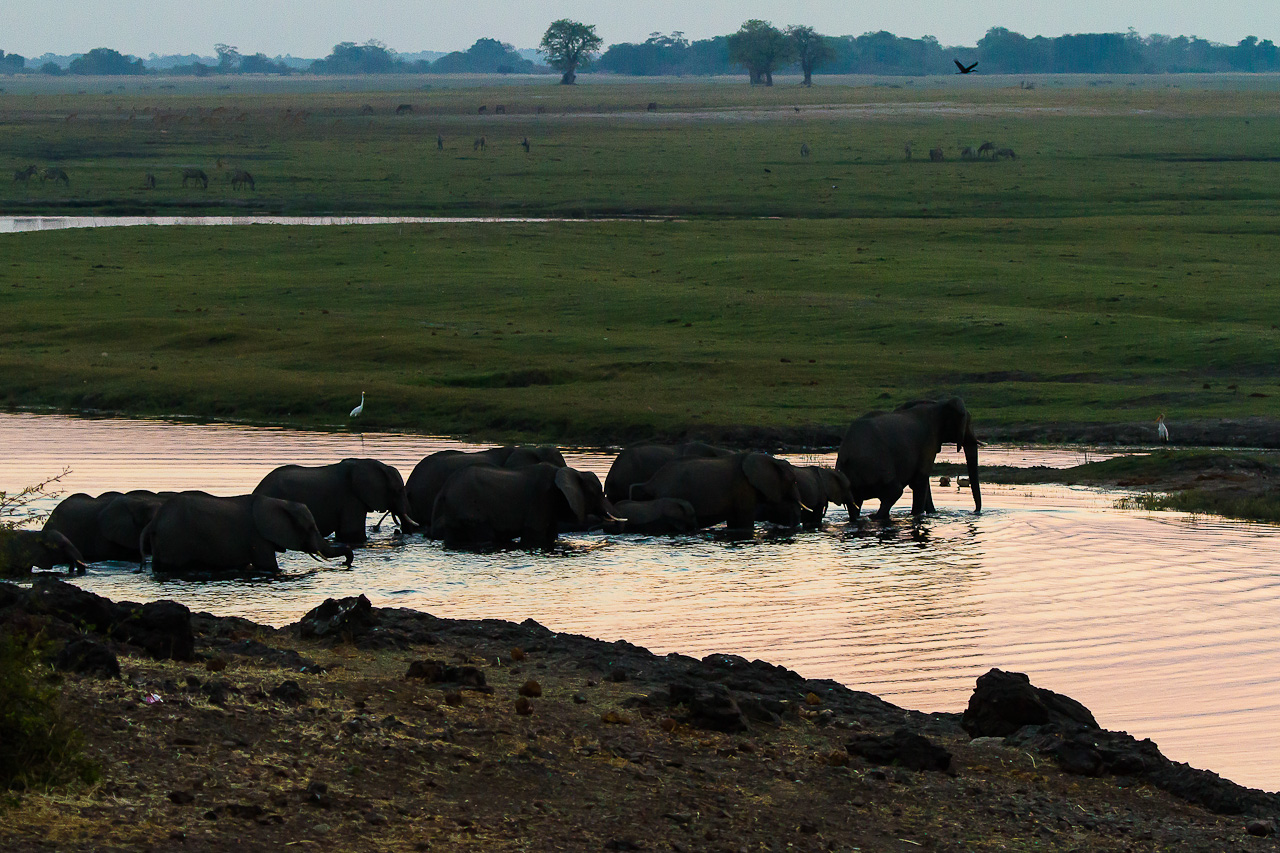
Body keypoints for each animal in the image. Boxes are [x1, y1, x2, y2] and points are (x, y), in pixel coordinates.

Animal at [140, 492, 353, 574]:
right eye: (309, 528)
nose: (345, 563)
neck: (279, 502)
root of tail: (153, 522)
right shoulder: (257, 537)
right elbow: (268, 565)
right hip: (173, 540)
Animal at [431, 463, 615, 549]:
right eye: (597, 492)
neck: (572, 471)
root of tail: (444, 490)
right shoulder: (541, 498)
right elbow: (534, 535)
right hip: (470, 508)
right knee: (484, 535)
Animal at [835, 397, 981, 521]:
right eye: (968, 423)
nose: (975, 512)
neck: (939, 403)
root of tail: (846, 453)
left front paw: (932, 514)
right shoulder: (928, 441)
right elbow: (920, 481)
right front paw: (918, 515)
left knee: (855, 503)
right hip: (875, 465)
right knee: (894, 491)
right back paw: (874, 517)